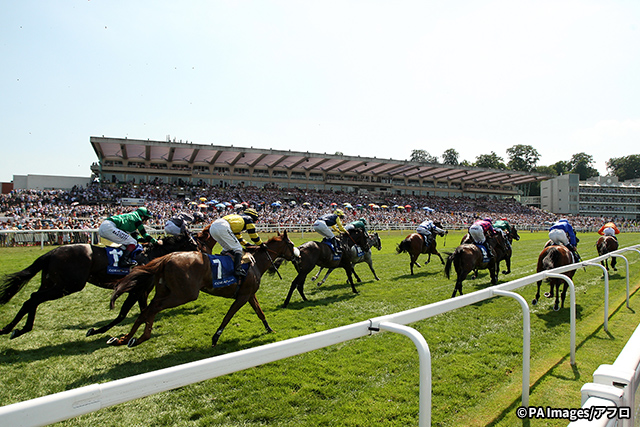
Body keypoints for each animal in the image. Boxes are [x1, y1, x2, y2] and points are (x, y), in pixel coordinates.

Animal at [0, 234, 208, 342]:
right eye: (193, 241)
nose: (203, 252)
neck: (152, 255)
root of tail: (53, 252)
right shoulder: (137, 289)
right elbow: (123, 313)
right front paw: (97, 331)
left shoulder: (142, 290)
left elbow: (143, 310)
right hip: (68, 285)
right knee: (34, 298)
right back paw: (18, 328)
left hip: (52, 282)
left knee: (31, 298)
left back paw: (13, 328)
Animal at [109, 231, 302, 348]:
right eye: (291, 244)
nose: (298, 256)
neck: (255, 263)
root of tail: (167, 258)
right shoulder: (242, 296)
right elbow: (228, 316)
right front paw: (216, 337)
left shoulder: (248, 294)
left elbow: (260, 312)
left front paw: (269, 329)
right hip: (184, 294)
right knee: (153, 308)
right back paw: (141, 337)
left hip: (164, 291)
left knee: (147, 310)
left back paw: (126, 338)